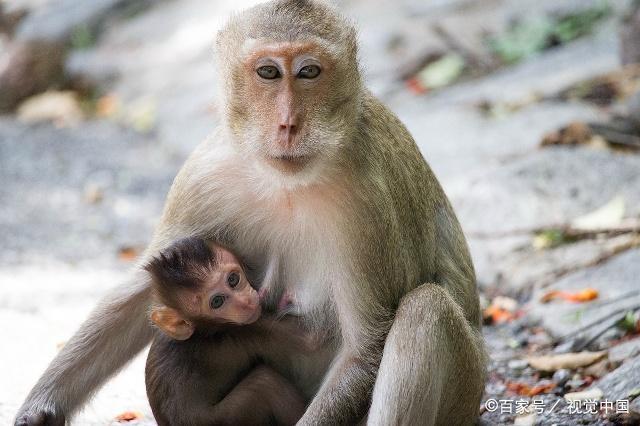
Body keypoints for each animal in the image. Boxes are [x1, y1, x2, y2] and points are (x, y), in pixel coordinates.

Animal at [144, 238, 316, 424]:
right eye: (217, 301)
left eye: (233, 279)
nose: (245, 302)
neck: (203, 329)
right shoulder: (247, 329)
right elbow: (311, 339)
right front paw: (286, 301)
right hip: (232, 417)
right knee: (264, 382)